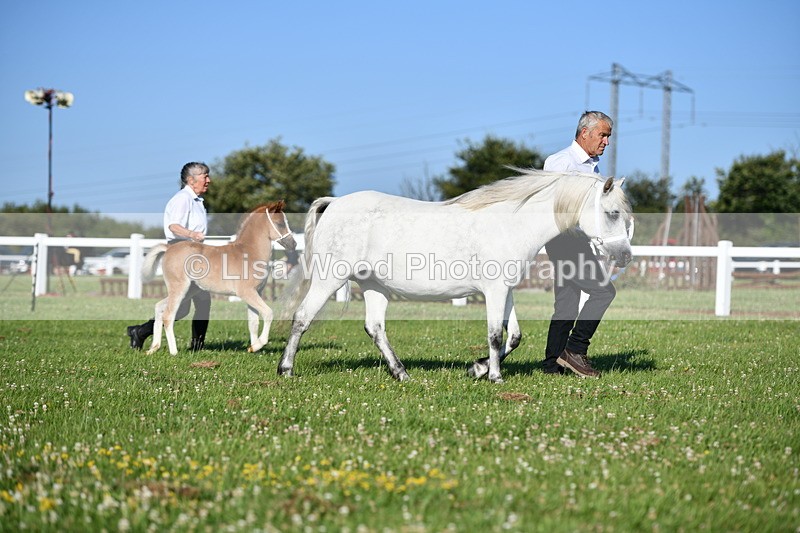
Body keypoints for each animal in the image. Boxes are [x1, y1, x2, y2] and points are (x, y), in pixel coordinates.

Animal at [142, 201, 296, 355]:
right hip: (179, 288)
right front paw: (259, 345)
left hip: (189, 290)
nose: (293, 244)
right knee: (168, 315)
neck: (249, 253)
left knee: (159, 308)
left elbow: (253, 322)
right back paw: (174, 352)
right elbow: (268, 313)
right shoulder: (247, 292)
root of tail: (168, 249)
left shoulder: (256, 292)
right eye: (280, 223)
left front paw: (253, 348)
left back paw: (153, 348)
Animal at [278, 169, 633, 383]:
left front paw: (477, 368)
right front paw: (494, 377)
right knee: (302, 318)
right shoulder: (494, 290)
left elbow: (514, 336)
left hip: (373, 286)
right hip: (330, 279)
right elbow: (495, 334)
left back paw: (401, 373)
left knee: (375, 328)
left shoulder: (506, 290)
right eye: (612, 213)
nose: (625, 256)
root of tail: (334, 203)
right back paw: (285, 370)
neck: (510, 224)